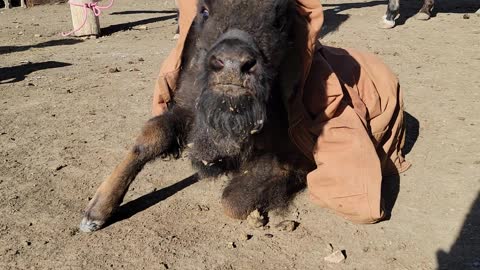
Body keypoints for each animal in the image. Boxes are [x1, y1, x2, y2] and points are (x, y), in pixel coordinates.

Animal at [79, 0, 312, 232]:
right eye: (205, 11)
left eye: (279, 20)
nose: (232, 64)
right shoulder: (189, 111)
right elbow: (151, 137)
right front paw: (94, 214)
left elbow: (233, 200)